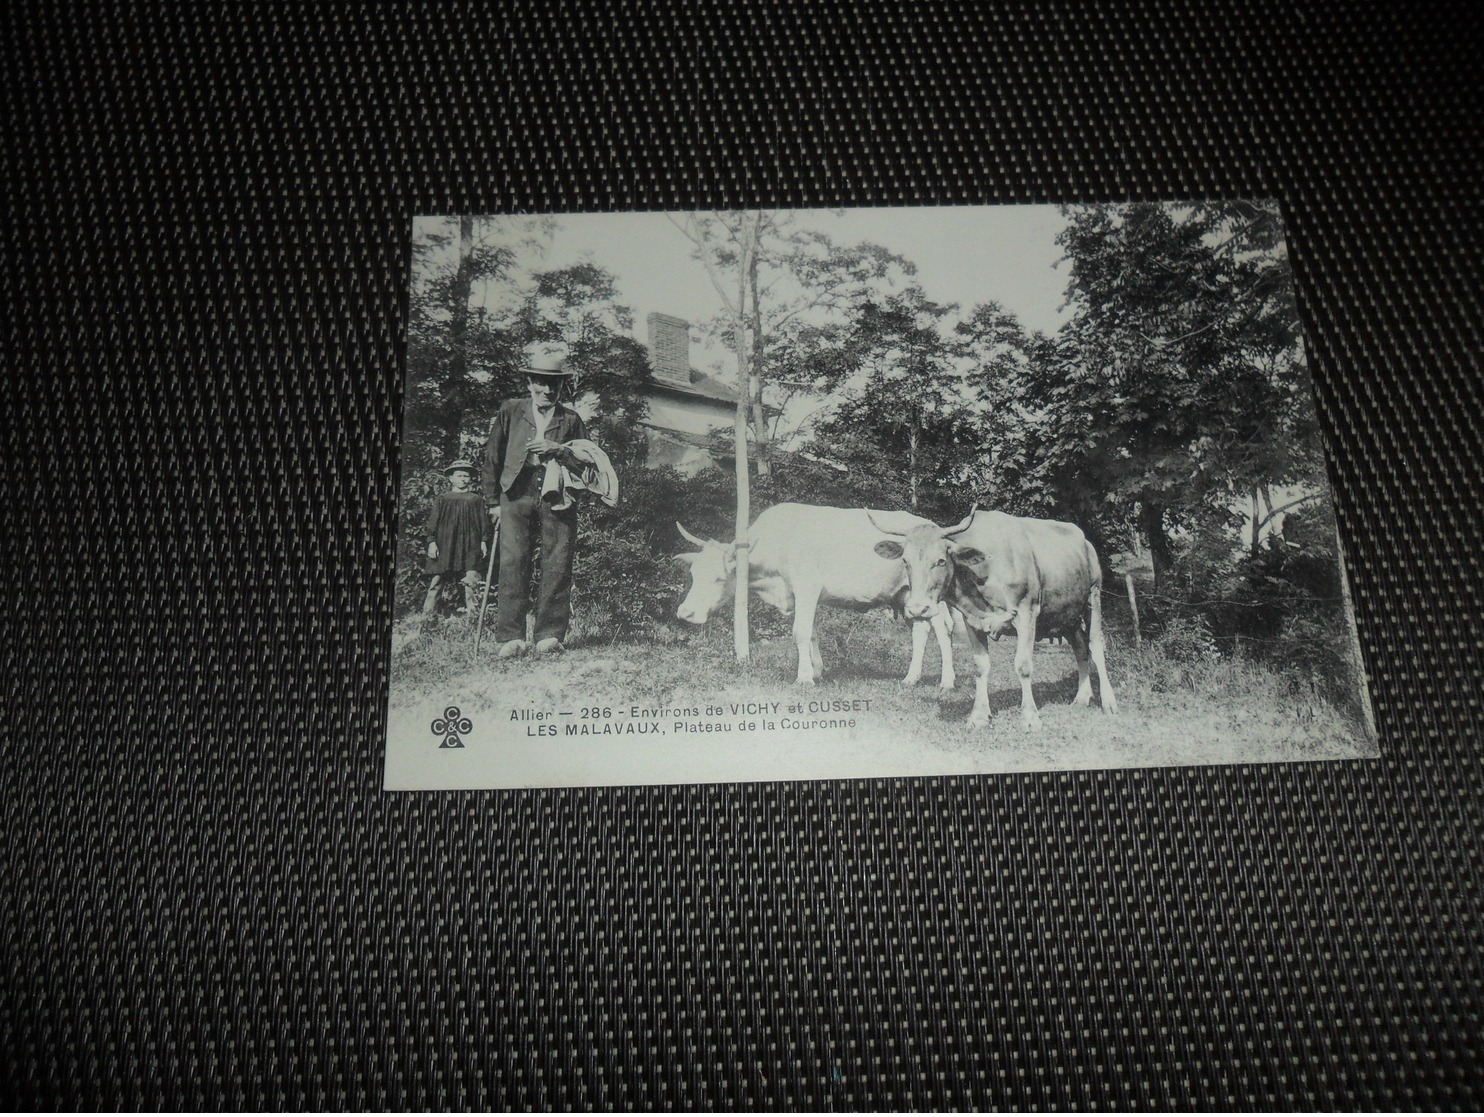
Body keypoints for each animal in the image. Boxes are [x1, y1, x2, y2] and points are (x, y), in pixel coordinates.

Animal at [673, 498, 949, 688]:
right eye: (694, 574)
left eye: (719, 578)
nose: (685, 613)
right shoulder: (802, 595)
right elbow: (812, 632)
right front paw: (817, 671)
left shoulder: (807, 587)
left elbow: (800, 632)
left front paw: (804, 677)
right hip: (907, 595)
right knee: (920, 630)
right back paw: (911, 678)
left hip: (931, 597)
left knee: (942, 631)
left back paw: (945, 681)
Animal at [866, 507, 1115, 732]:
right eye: (905, 562)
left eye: (940, 561)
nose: (918, 608)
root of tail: (1084, 539)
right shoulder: (971, 620)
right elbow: (980, 666)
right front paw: (978, 716)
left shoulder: (1027, 612)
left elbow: (1023, 665)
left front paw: (1030, 718)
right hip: (1065, 613)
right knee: (1080, 647)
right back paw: (1082, 697)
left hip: (1093, 595)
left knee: (1095, 646)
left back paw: (1108, 702)